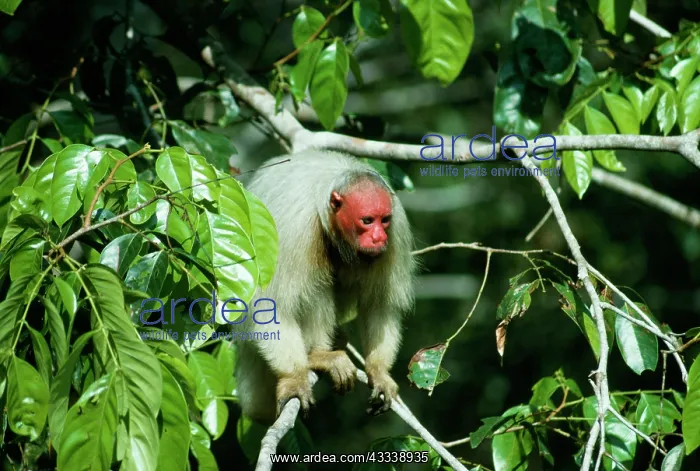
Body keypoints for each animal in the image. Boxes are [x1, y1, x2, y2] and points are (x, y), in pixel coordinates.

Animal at [233, 150, 416, 424]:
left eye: (384, 220)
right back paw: (319, 355)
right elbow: (270, 306)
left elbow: (379, 304)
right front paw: (294, 377)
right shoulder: (292, 231)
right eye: (367, 220)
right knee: (314, 285)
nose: (378, 237)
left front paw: (379, 371)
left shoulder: (397, 230)